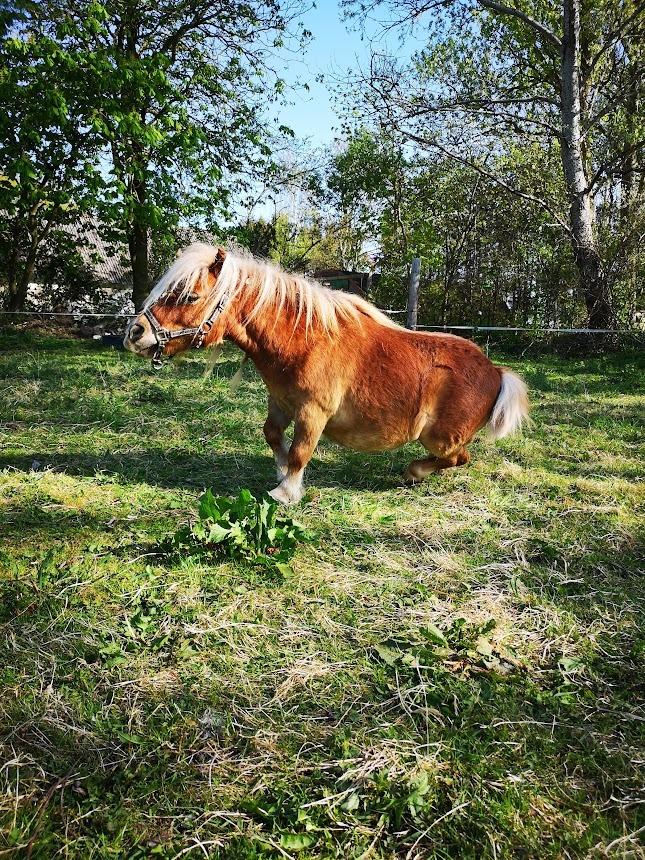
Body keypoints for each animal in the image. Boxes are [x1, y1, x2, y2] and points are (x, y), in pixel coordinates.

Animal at [124, 244, 528, 504]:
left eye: (190, 296)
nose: (135, 333)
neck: (303, 339)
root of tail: (496, 371)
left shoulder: (313, 412)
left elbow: (301, 451)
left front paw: (286, 492)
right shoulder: (280, 402)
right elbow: (272, 435)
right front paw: (280, 472)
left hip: (439, 438)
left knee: (459, 458)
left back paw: (413, 472)